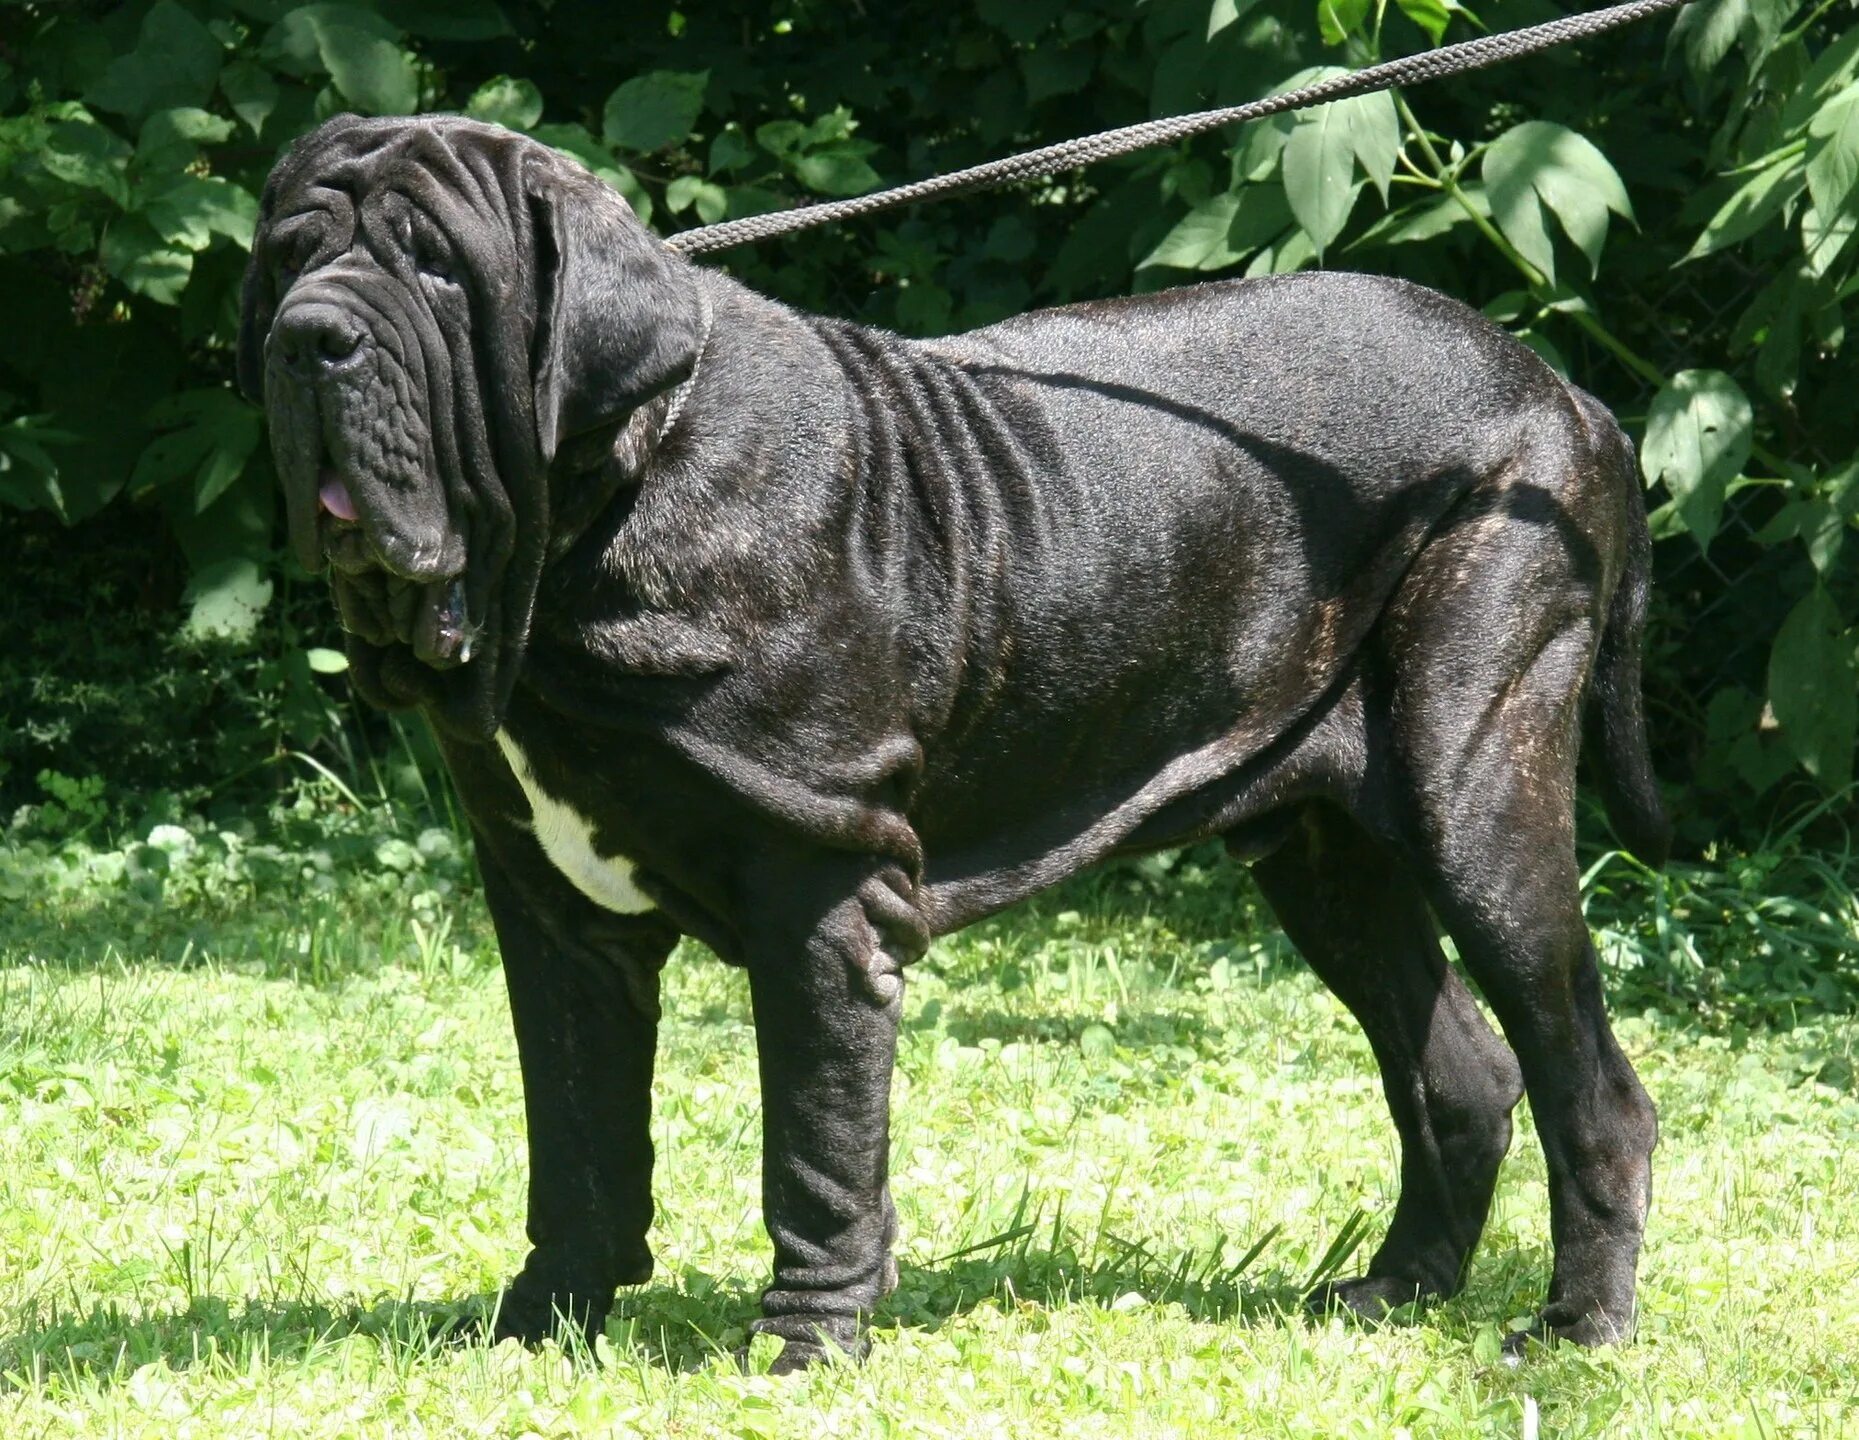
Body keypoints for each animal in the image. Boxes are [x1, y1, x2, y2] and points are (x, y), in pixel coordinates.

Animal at [236, 115, 1673, 1374]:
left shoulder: (820, 898)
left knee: (1591, 1086)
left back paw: (1575, 1330)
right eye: (289, 257)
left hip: (1472, 794)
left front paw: (803, 1349)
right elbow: (578, 1142)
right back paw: (1391, 1292)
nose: (309, 339)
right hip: (1320, 851)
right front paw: (537, 1328)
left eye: (436, 266)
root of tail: (1563, 390)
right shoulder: (554, 914)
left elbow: (814, 1146)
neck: (597, 521)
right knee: (1459, 1073)